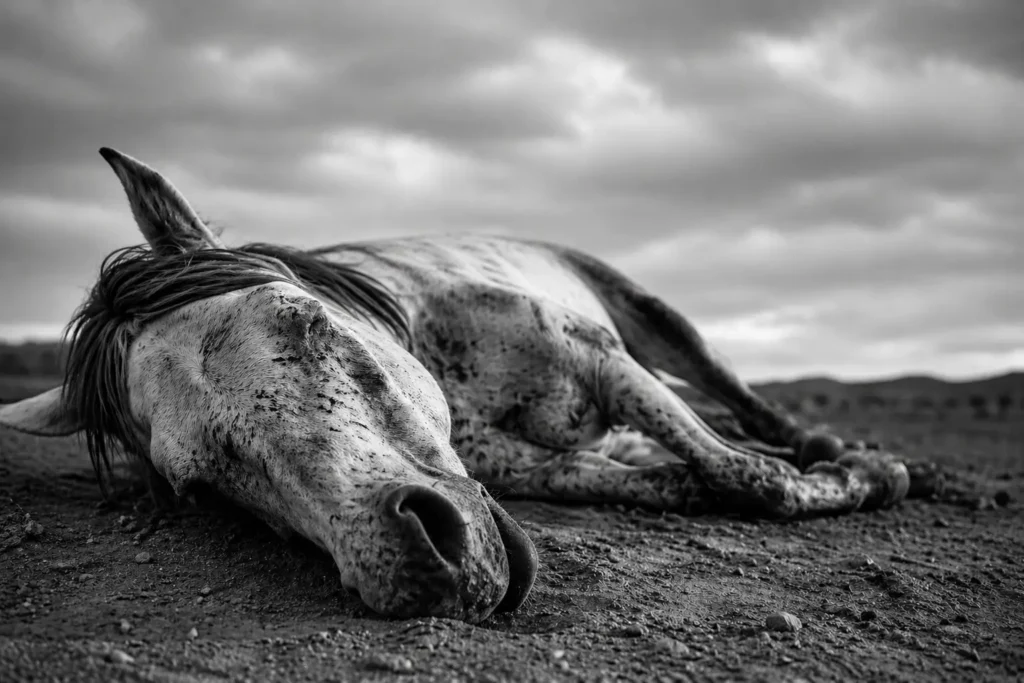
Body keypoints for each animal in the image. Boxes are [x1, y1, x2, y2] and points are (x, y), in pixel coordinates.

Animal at [0, 148, 917, 623]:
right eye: (193, 484)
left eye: (302, 319)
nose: (422, 559)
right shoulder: (534, 466)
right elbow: (685, 480)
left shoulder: (604, 361)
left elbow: (746, 477)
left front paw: (867, 472)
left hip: (656, 324)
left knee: (740, 404)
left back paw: (842, 448)